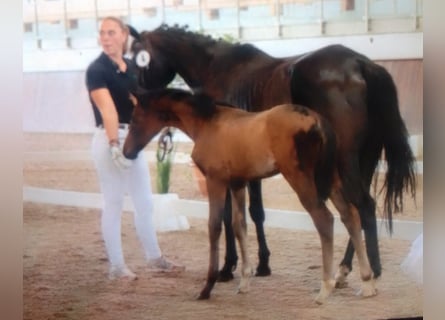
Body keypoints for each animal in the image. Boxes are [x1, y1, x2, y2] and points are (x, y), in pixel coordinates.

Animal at [125, 23, 416, 286]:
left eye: (139, 57)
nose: (137, 94)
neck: (219, 69)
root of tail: (361, 64)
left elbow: (232, 216)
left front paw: (228, 268)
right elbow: (255, 212)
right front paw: (262, 264)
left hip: (345, 160)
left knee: (363, 205)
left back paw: (371, 270)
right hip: (365, 159)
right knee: (359, 209)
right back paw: (347, 270)